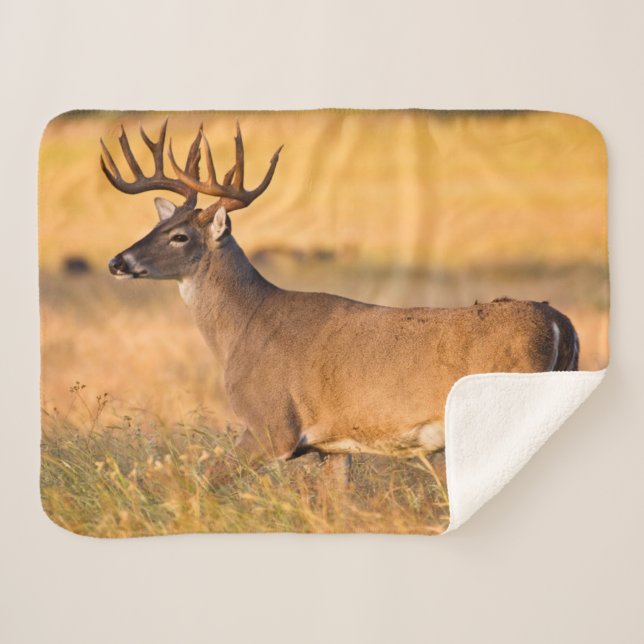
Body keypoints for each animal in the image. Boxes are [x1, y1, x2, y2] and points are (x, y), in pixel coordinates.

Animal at [102, 120, 580, 486]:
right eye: (155, 225)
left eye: (180, 236)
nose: (117, 261)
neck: (245, 328)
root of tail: (561, 323)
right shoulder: (331, 447)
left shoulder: (271, 424)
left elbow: (203, 483)